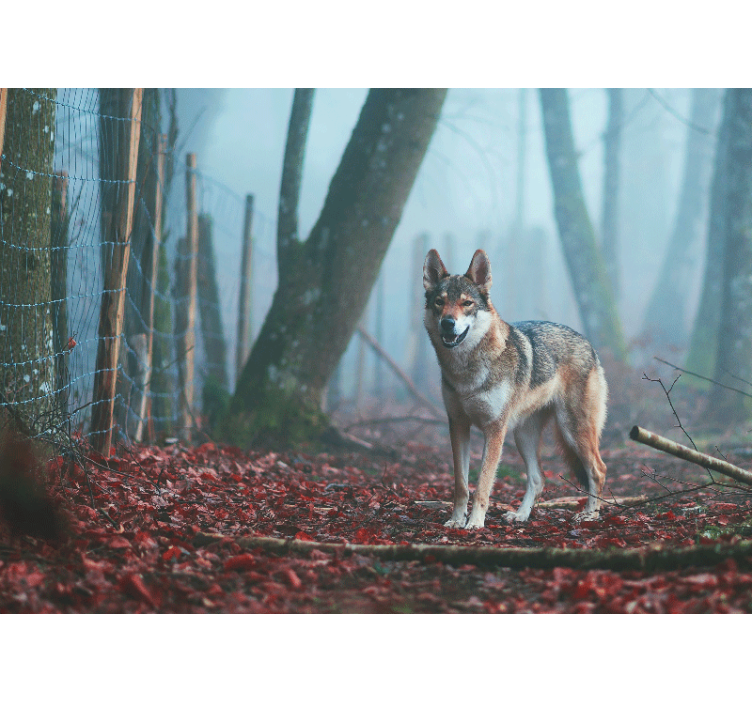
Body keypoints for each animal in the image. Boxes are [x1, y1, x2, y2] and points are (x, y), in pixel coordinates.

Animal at [423, 248, 608, 530]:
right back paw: (520, 516)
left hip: (573, 430)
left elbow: (483, 484)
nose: (447, 323)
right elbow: (461, 485)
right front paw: (456, 520)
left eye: (467, 304)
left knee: (598, 470)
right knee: (538, 478)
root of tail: (588, 343)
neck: (466, 370)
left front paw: (474, 523)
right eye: (439, 302)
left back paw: (590, 515)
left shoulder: (494, 429)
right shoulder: (458, 425)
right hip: (524, 436)